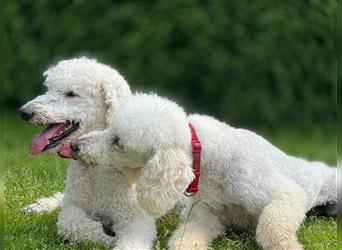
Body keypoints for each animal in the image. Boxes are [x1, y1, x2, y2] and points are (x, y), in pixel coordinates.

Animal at [19, 57, 156, 249]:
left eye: (71, 94)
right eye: (49, 89)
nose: (24, 112)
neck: (96, 163)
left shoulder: (136, 218)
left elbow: (131, 240)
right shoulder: (73, 207)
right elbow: (70, 223)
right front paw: (107, 239)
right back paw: (38, 207)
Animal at [62, 93, 336, 250]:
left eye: (118, 142)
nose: (75, 146)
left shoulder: (282, 194)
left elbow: (272, 225)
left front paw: (289, 245)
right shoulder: (205, 215)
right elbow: (186, 237)